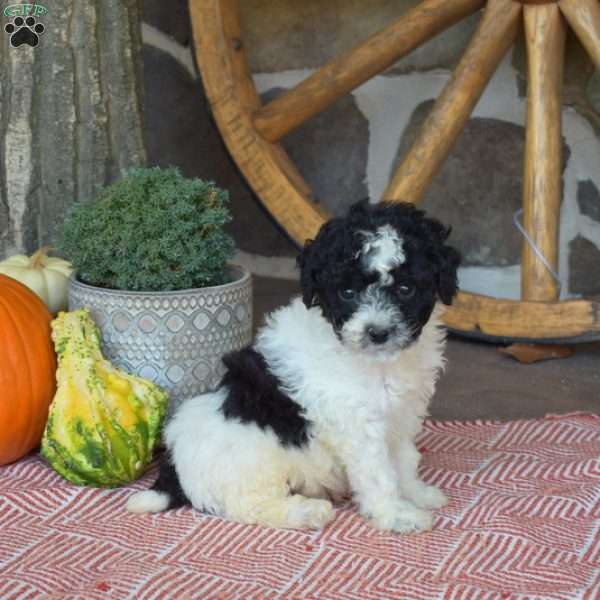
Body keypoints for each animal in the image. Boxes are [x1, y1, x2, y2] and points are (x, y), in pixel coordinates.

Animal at [129, 202, 462, 536]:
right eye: (347, 293)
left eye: (406, 289)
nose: (377, 333)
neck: (376, 361)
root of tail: (172, 467)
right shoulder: (356, 422)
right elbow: (378, 473)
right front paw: (396, 515)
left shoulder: (402, 412)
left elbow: (403, 458)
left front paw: (417, 493)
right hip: (250, 460)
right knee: (251, 505)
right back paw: (306, 512)